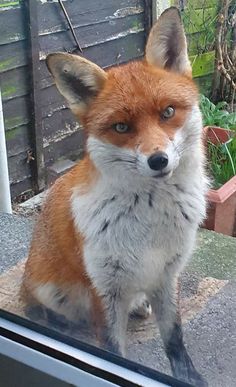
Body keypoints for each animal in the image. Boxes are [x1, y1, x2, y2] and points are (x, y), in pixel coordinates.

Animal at [22, 6, 208, 387]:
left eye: (168, 112)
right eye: (122, 127)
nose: (158, 160)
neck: (151, 224)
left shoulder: (167, 276)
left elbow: (175, 338)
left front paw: (190, 377)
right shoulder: (103, 289)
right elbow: (111, 350)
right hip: (50, 289)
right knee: (40, 306)